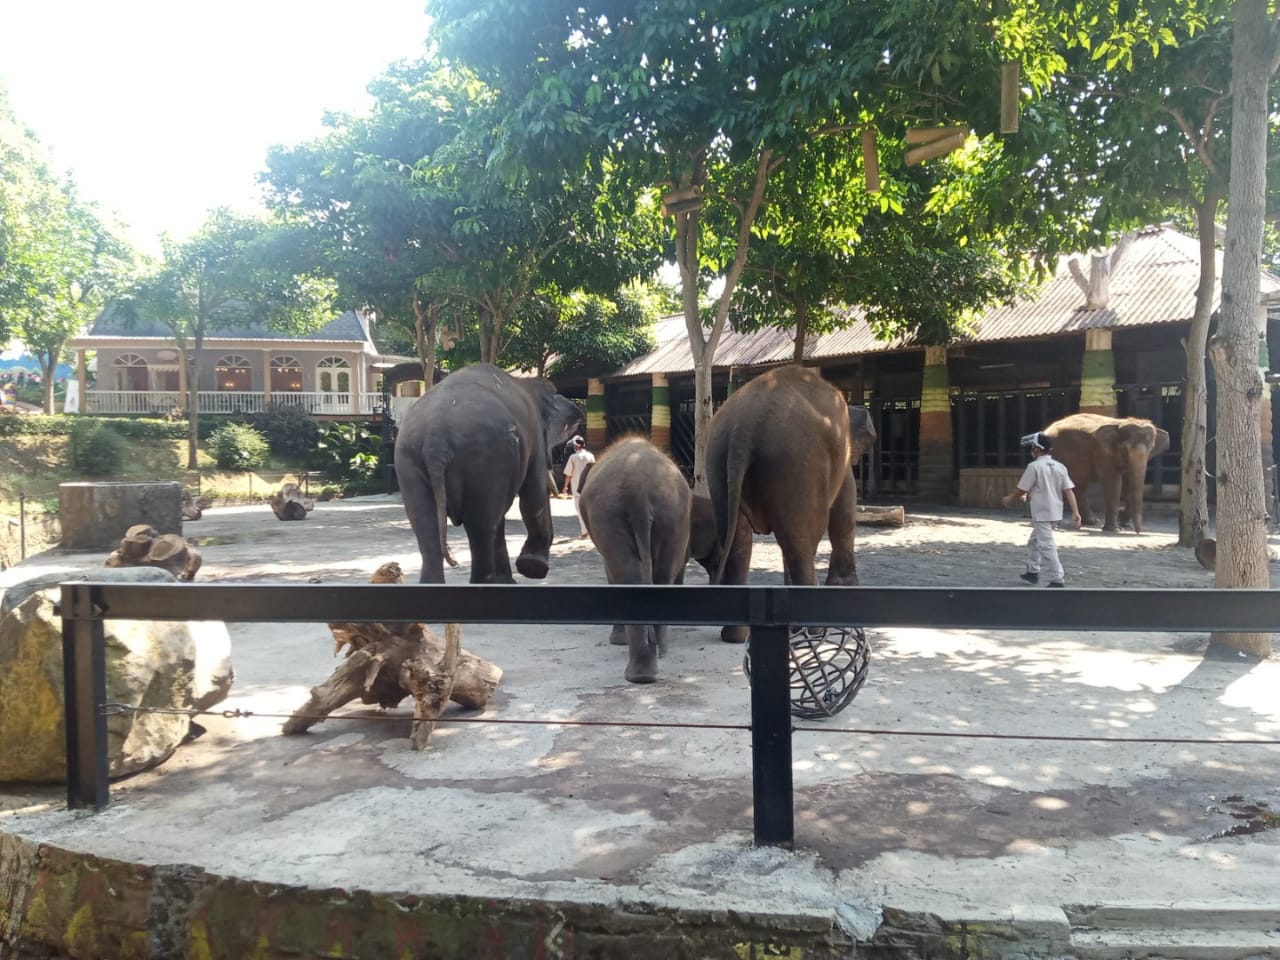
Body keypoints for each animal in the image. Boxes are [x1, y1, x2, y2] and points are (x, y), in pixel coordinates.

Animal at [394, 363, 586, 583]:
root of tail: (436, 437)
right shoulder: (535, 438)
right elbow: (533, 497)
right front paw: (533, 567)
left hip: (409, 460)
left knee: (427, 528)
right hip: (485, 456)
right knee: (480, 529)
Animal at [581, 435, 691, 686]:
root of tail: (639, 491)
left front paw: (617, 641)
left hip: (609, 514)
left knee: (626, 574)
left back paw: (638, 675)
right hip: (672, 515)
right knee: (662, 575)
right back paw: (657, 657)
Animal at [701, 363, 880, 642]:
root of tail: (745, 425)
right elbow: (844, 513)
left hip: (718, 460)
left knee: (739, 542)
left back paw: (735, 636)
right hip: (796, 463)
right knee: (801, 544)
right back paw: (814, 630)